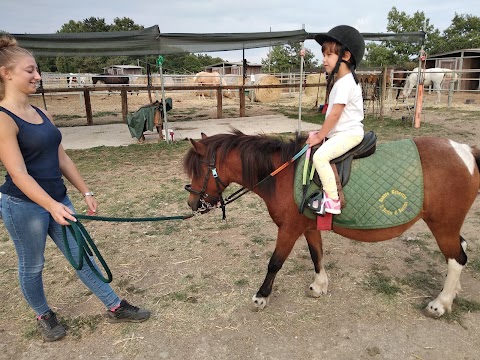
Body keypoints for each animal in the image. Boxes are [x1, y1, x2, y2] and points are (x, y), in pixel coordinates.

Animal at [185, 130, 480, 318]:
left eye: (198, 170)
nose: (192, 204)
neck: (283, 174)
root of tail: (465, 151)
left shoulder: (289, 229)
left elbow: (275, 262)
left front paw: (261, 296)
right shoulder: (308, 226)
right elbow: (317, 253)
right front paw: (319, 285)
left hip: (442, 225)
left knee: (457, 257)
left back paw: (440, 304)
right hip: (448, 225)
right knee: (460, 250)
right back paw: (453, 291)